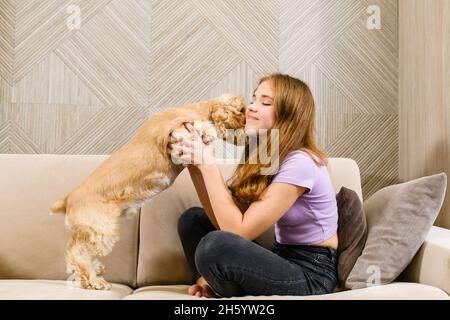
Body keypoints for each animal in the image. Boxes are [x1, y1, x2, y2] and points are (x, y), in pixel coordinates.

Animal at [50, 94, 246, 292]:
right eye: (243, 110)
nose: (247, 130)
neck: (195, 109)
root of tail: (68, 199)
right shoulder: (177, 135)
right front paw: (207, 131)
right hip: (100, 229)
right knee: (78, 254)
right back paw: (95, 281)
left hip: (90, 231)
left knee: (75, 252)